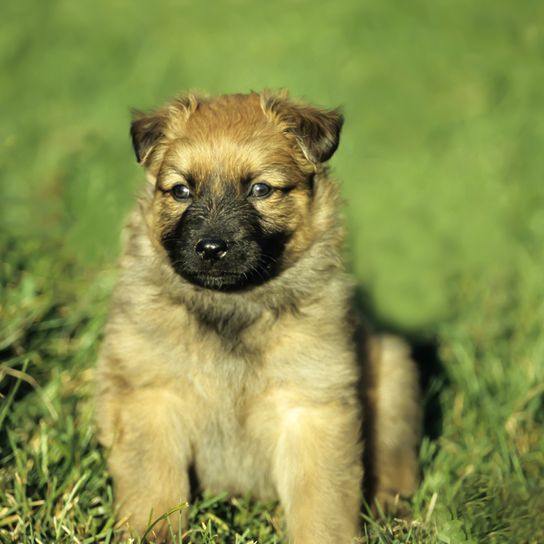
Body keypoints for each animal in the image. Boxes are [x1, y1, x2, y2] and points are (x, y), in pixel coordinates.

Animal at [95, 91, 422, 540]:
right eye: (181, 190)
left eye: (260, 189)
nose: (210, 248)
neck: (233, 305)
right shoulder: (150, 394)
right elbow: (154, 486)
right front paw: (152, 533)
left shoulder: (311, 406)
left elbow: (320, 500)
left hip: (392, 371)